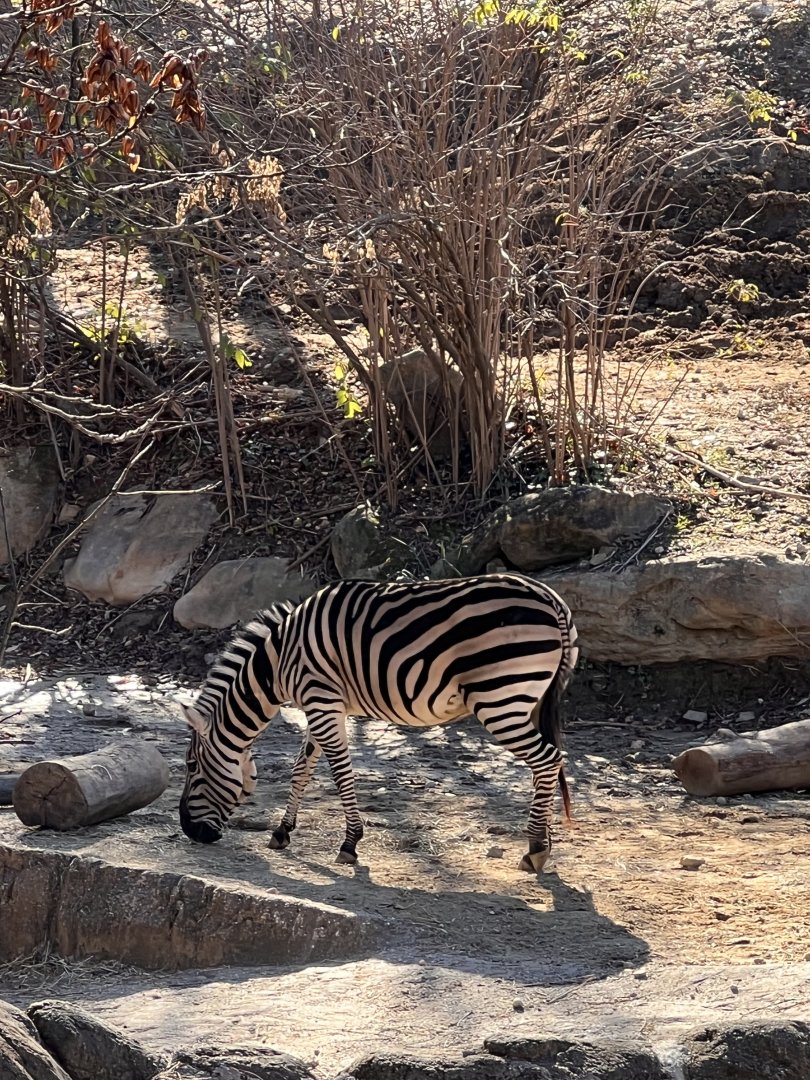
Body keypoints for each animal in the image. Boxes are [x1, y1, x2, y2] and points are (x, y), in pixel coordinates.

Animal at [179, 572, 578, 873]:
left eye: (191, 766)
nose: (189, 831)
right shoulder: (324, 704)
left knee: (548, 760)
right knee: (548, 764)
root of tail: (552, 600)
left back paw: (535, 848)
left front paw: (349, 843)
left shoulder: (320, 699)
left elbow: (340, 773)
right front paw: (282, 831)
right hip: (527, 697)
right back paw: (543, 840)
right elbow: (301, 769)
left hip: (499, 698)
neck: (277, 663)